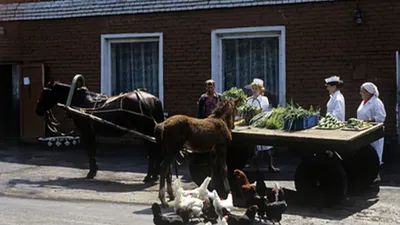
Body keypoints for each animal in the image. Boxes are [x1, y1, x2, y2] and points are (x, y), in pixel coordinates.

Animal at [34, 80, 164, 183]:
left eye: (45, 92)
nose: (38, 110)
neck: (78, 101)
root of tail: (154, 99)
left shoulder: (86, 131)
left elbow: (90, 150)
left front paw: (91, 172)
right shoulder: (90, 132)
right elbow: (93, 150)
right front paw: (94, 170)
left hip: (145, 131)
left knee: (152, 152)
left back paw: (149, 176)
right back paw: (154, 175)